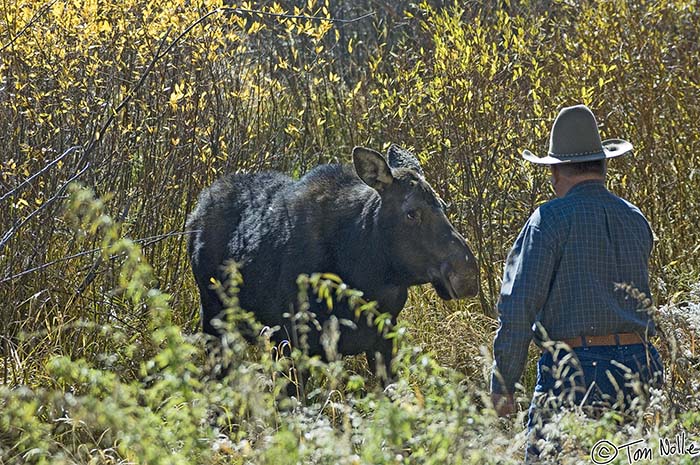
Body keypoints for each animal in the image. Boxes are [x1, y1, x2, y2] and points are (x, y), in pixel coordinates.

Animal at [186, 146, 478, 380]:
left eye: (444, 206)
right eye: (412, 213)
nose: (466, 275)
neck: (368, 272)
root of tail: (196, 210)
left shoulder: (384, 340)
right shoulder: (292, 343)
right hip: (214, 321)